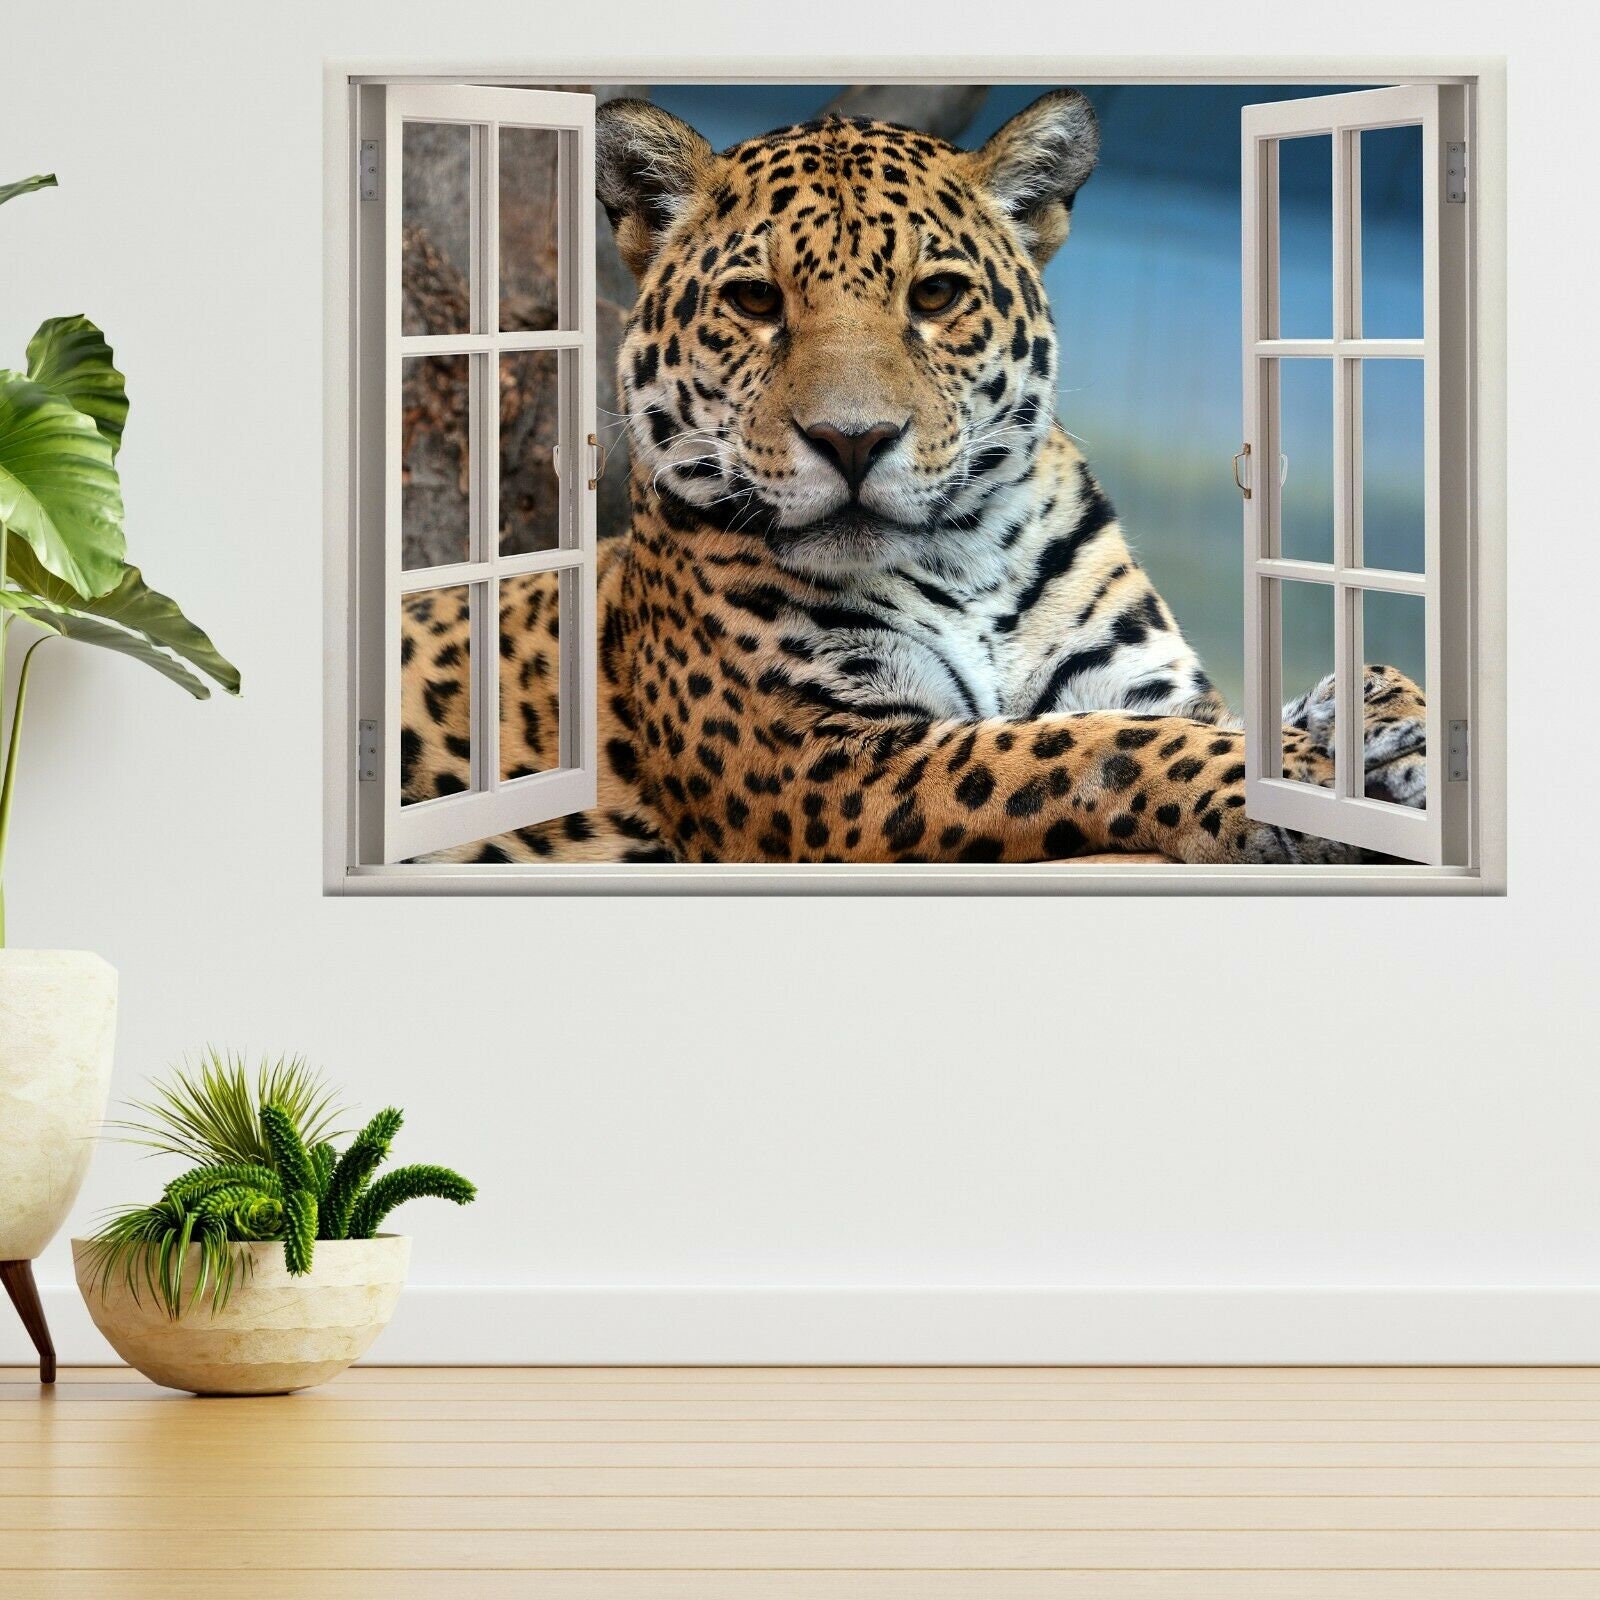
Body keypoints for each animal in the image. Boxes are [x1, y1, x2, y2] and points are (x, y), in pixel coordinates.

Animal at [401, 90, 1427, 865]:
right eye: (755, 300)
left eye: (935, 295)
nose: (852, 441)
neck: (965, 561)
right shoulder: (821, 757)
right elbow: (1078, 749)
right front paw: (1305, 774)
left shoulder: (1145, 680)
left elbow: (1208, 712)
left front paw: (1381, 722)